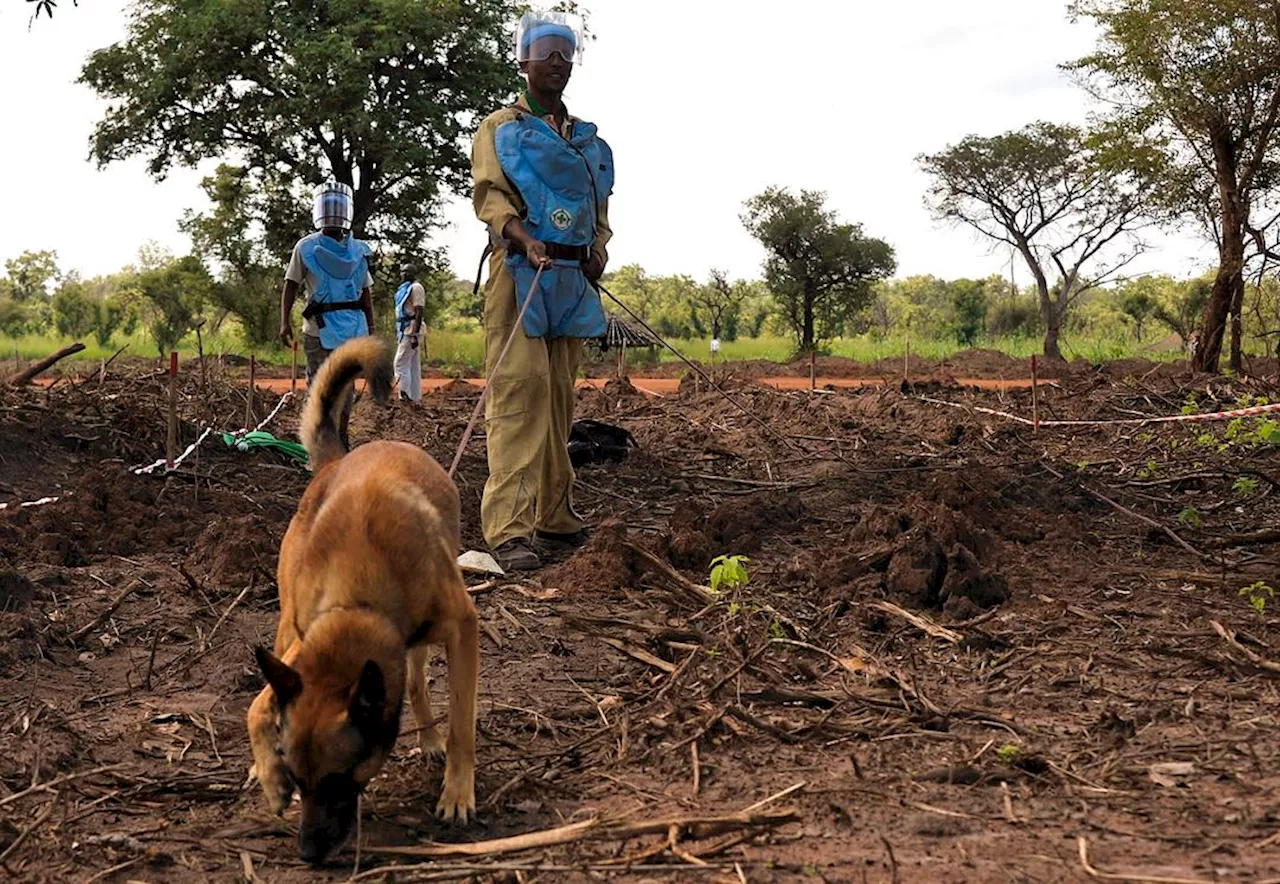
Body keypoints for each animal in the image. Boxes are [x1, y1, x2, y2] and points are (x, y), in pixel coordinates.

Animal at [244, 337, 476, 864]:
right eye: (298, 780)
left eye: (338, 781)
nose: (307, 854)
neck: (359, 598)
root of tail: (336, 461)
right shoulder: (300, 642)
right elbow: (256, 705)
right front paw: (267, 773)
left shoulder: (462, 629)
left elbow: (461, 723)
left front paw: (457, 792)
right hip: (287, 632)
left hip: (420, 638)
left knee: (416, 683)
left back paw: (429, 738)